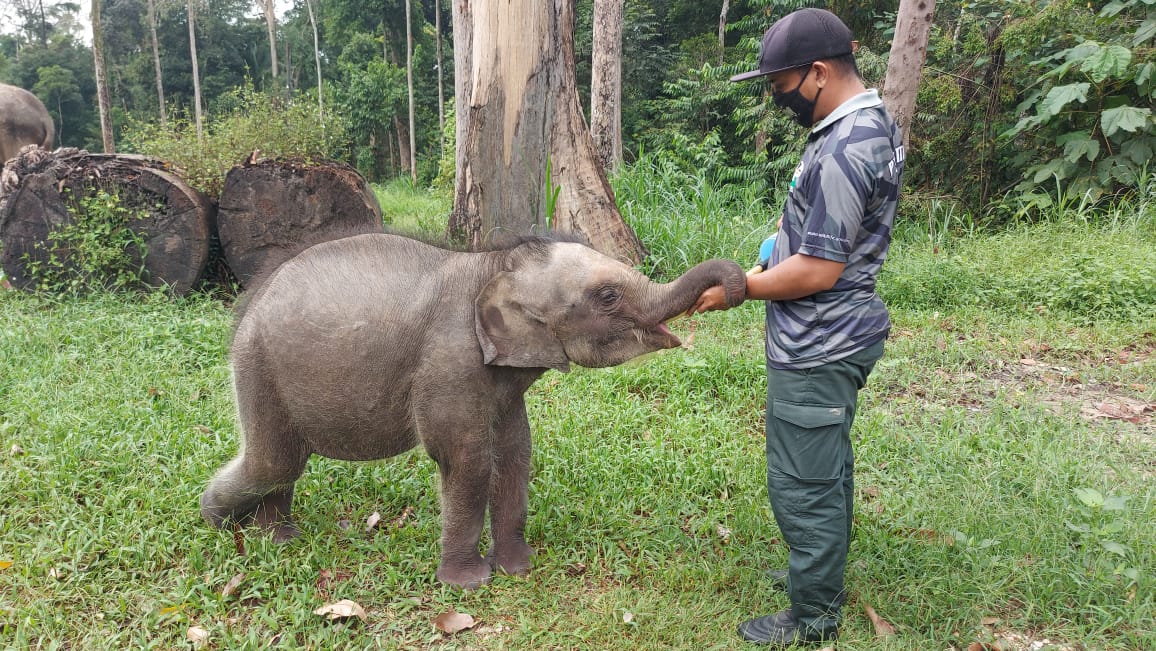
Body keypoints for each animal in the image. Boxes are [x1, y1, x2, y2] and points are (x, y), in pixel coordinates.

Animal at [202, 233, 744, 592]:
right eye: (607, 297)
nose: (725, 291)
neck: (494, 265)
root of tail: (250, 302)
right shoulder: (451, 360)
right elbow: (466, 459)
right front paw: (467, 585)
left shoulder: (500, 380)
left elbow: (516, 452)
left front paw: (518, 570)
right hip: (258, 366)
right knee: (274, 462)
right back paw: (220, 524)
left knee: (283, 465)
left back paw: (279, 539)